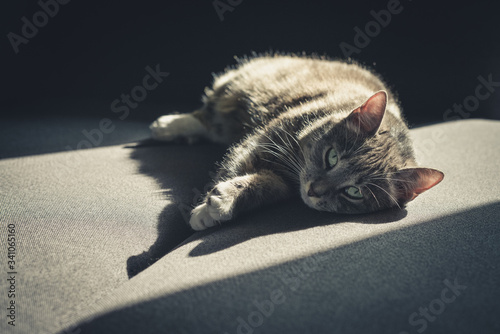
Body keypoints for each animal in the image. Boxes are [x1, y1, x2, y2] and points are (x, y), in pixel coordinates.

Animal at [150, 53, 444, 231]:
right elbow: (232, 168)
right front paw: (205, 210)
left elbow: (264, 185)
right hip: (233, 90)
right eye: (332, 157)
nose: (314, 190)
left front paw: (218, 206)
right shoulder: (260, 142)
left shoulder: (283, 183)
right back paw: (167, 125)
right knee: (207, 117)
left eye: (354, 192)